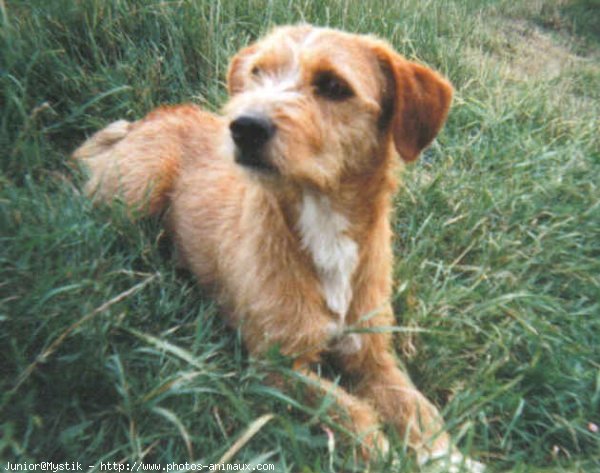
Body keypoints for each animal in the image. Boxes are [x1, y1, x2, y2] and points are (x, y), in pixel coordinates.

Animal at [75, 24, 486, 470]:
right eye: (258, 72)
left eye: (333, 86)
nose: (243, 126)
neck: (323, 226)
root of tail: (156, 113)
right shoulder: (278, 365)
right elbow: (348, 411)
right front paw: (385, 454)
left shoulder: (373, 356)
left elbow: (418, 407)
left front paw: (448, 456)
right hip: (132, 196)